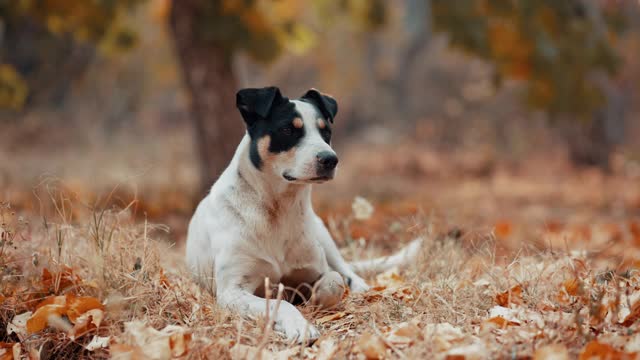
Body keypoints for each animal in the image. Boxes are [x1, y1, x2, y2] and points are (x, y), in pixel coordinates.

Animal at [185, 87, 422, 344]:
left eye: (326, 132)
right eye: (288, 130)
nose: (330, 159)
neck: (277, 209)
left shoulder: (316, 270)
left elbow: (334, 281)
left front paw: (316, 300)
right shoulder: (232, 290)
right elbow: (280, 304)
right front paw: (301, 326)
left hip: (323, 234)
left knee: (345, 270)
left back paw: (362, 288)